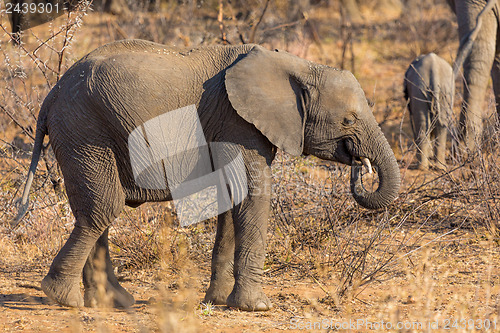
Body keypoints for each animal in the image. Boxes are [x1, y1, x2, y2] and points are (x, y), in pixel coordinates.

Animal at [14, 39, 402, 312]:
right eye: (349, 119)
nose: (359, 163)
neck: (298, 66)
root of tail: (50, 96)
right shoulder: (238, 123)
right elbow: (252, 194)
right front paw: (257, 307)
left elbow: (231, 199)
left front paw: (217, 301)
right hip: (85, 132)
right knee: (102, 209)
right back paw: (63, 299)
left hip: (83, 134)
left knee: (97, 210)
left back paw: (111, 303)